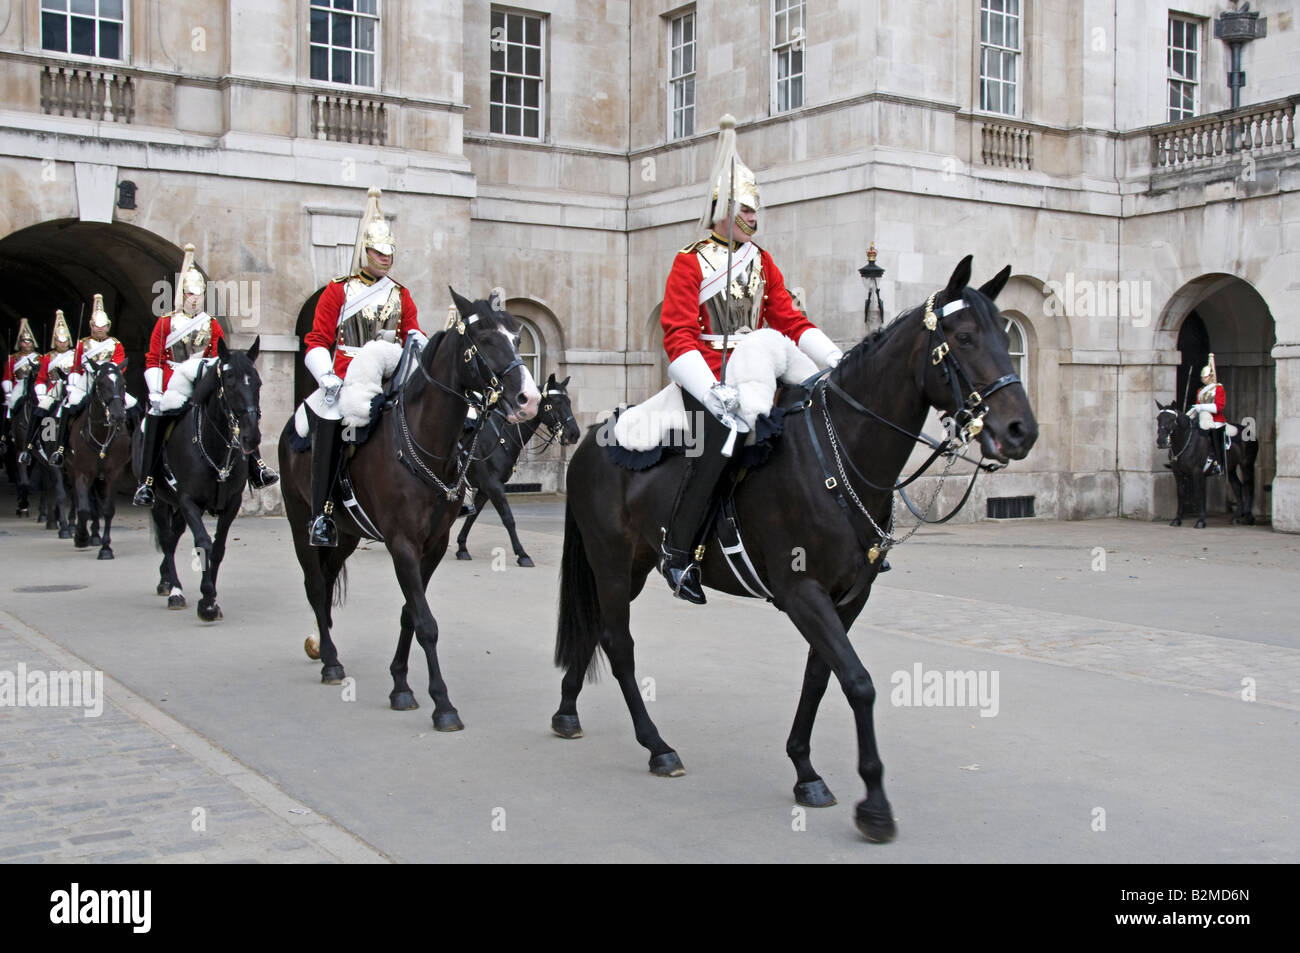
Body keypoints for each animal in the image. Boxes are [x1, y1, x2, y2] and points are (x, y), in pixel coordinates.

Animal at [65, 360, 132, 558]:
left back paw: (95, 535)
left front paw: (105, 548)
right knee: (77, 498)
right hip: (71, 470)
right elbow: (83, 509)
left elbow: (108, 510)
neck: (101, 435)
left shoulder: (113, 474)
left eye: (123, 384)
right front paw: (81, 537)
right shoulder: (82, 472)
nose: (118, 416)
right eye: (101, 384)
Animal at [144, 338, 265, 619]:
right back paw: (174, 590)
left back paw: (167, 580)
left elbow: (218, 547)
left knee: (174, 534)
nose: (251, 437)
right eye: (229, 380)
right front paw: (207, 600)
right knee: (167, 539)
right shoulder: (189, 500)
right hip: (160, 500)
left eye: (257, 382)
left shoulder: (231, 503)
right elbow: (203, 542)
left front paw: (210, 597)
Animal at [278, 290, 540, 730]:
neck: (425, 444)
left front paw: (400, 684)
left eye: (518, 339)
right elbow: (426, 622)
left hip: (347, 533)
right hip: (302, 521)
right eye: (485, 338)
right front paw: (443, 704)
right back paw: (330, 660)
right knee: (314, 583)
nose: (529, 400)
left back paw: (324, 641)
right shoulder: (402, 544)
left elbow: (410, 614)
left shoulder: (432, 545)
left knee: (327, 581)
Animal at [455, 373, 580, 566]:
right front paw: (522, 554)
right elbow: (508, 518)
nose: (574, 434)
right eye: (556, 402)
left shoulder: (485, 488)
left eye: (569, 402)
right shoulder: (493, 485)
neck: (499, 435)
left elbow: (472, 517)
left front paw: (462, 546)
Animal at [551, 256, 1037, 842]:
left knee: (595, 629)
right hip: (611, 561)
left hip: (636, 566)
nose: (1021, 430)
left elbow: (820, 677)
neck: (838, 452)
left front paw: (806, 770)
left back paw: (567, 711)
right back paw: (657, 745)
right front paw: (874, 805)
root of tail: (591, 437)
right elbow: (859, 683)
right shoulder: (802, 592)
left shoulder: (846, 599)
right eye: (963, 338)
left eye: (1005, 338)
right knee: (618, 644)